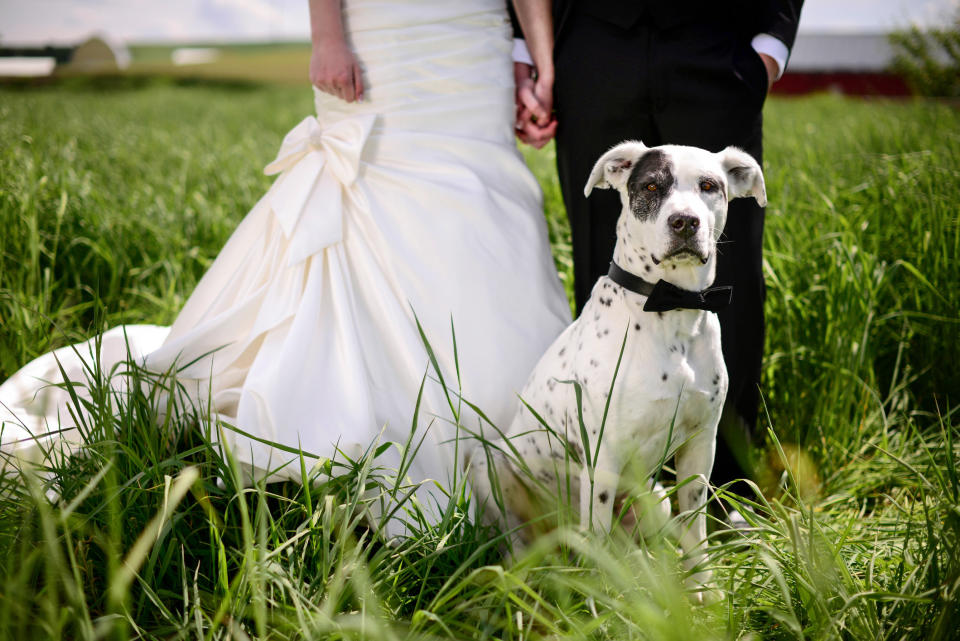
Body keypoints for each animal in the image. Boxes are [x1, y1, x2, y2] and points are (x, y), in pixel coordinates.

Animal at [470, 140, 764, 600]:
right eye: (651, 185)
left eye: (709, 185)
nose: (685, 221)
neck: (672, 308)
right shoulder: (603, 455)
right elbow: (597, 533)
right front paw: (601, 601)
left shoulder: (700, 444)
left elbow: (695, 528)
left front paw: (703, 590)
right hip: (488, 468)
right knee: (519, 539)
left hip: (655, 498)